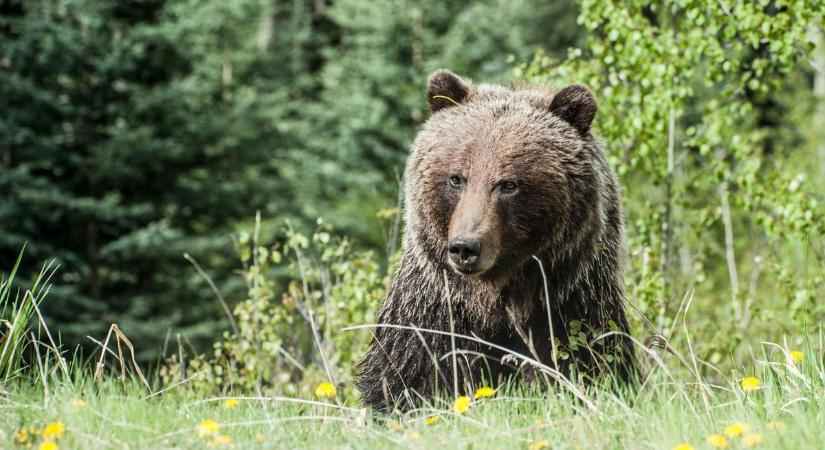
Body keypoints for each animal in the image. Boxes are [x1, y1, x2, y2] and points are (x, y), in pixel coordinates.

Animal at [356, 68, 636, 410]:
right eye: (456, 178)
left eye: (507, 184)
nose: (465, 247)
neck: (496, 299)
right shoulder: (433, 313)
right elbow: (408, 377)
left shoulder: (571, 306)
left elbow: (587, 363)